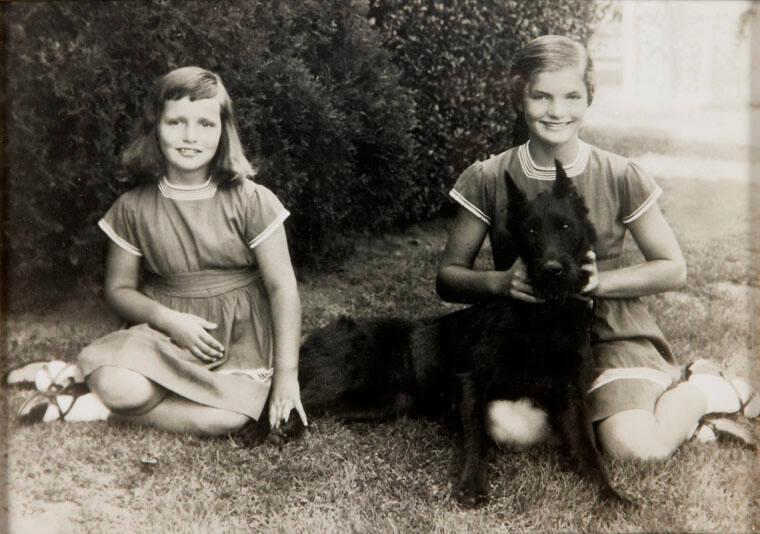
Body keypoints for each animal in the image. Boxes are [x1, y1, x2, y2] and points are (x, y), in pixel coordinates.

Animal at [245, 162, 628, 506]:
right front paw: (472, 485)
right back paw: (262, 430)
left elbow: (589, 449)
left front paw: (610, 493)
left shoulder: (571, 394)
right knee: (286, 397)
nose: (552, 270)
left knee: (310, 409)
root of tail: (317, 336)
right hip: (346, 380)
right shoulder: (472, 381)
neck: (543, 316)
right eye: (531, 231)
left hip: (378, 402)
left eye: (565, 226)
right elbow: (477, 438)